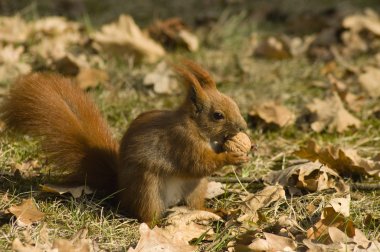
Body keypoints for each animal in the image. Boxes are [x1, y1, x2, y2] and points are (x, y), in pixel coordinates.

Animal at [0, 61, 249, 222]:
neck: (198, 129)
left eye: (234, 103)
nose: (243, 127)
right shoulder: (181, 142)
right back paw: (156, 225)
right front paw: (232, 156)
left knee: (195, 206)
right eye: (218, 115)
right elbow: (197, 164)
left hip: (195, 189)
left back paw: (214, 212)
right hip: (147, 188)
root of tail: (121, 190)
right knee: (147, 216)